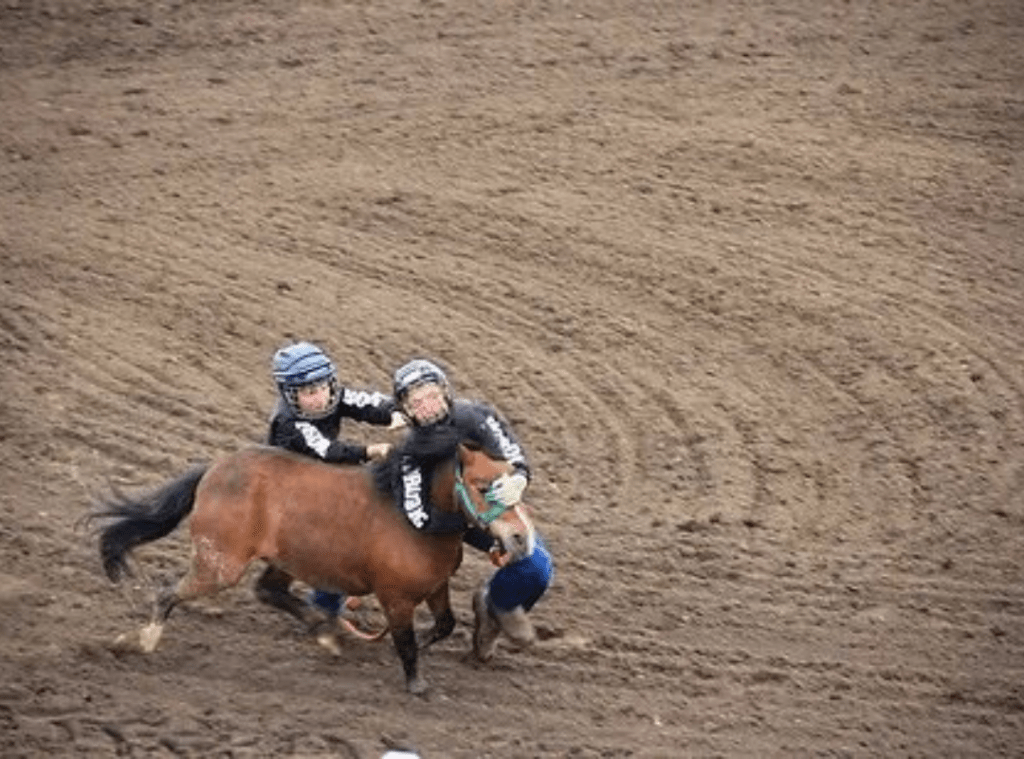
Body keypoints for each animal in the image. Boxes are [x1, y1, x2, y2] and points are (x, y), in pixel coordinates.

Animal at [89, 426, 536, 695]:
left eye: (516, 484)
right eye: (483, 486)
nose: (519, 538)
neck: (414, 515)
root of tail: (213, 471)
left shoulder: (435, 585)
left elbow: (444, 625)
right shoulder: (395, 598)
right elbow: (406, 643)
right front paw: (417, 684)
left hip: (282, 558)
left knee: (267, 590)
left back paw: (325, 631)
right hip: (220, 565)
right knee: (169, 592)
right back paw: (143, 641)